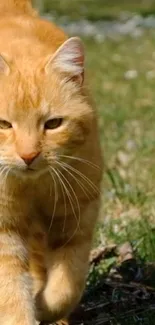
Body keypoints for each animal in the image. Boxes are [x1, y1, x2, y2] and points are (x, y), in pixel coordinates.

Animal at [0, 0, 103, 322]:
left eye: (54, 124)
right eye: (4, 124)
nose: (28, 155)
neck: (32, 187)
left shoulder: (78, 216)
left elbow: (66, 285)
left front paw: (44, 307)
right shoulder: (4, 230)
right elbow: (10, 290)